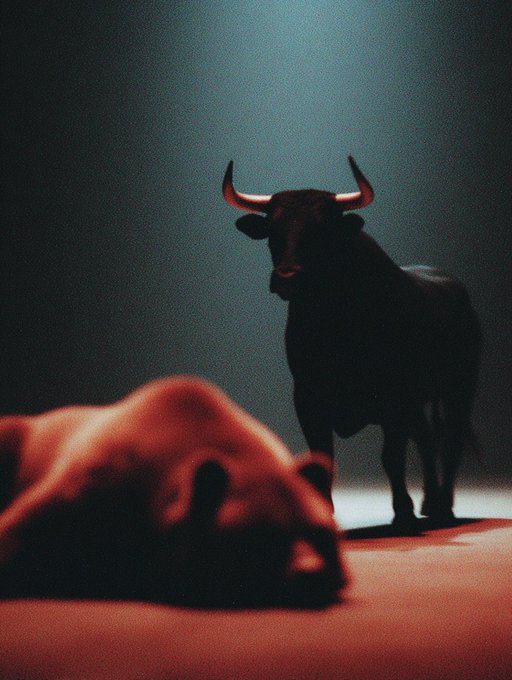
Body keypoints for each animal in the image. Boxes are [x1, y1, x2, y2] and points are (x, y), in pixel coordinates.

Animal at [223, 156, 481, 531]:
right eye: (273, 229)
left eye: (322, 229)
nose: (287, 276)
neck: (336, 321)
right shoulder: (308, 396)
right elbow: (322, 456)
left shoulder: (394, 396)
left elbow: (392, 457)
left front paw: (403, 513)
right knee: (427, 438)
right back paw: (431, 502)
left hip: (459, 388)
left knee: (450, 441)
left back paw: (444, 507)